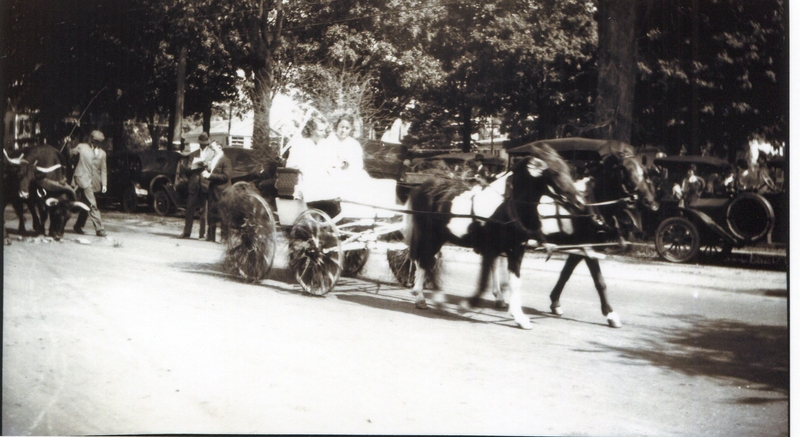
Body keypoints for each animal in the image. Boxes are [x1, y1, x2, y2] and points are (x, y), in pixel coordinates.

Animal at [406, 142, 588, 328]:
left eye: (568, 169)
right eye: (554, 172)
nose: (579, 202)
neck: (507, 206)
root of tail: (422, 187)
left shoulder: (516, 249)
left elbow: (515, 282)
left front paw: (519, 317)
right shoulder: (489, 248)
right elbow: (484, 282)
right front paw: (467, 305)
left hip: (438, 238)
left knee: (425, 261)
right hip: (430, 237)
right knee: (424, 261)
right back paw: (427, 297)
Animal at [506, 140, 656, 328]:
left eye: (643, 170)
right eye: (624, 170)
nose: (651, 203)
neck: (591, 204)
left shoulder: (581, 248)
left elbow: (566, 274)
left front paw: (555, 302)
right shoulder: (588, 248)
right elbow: (599, 281)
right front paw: (610, 313)